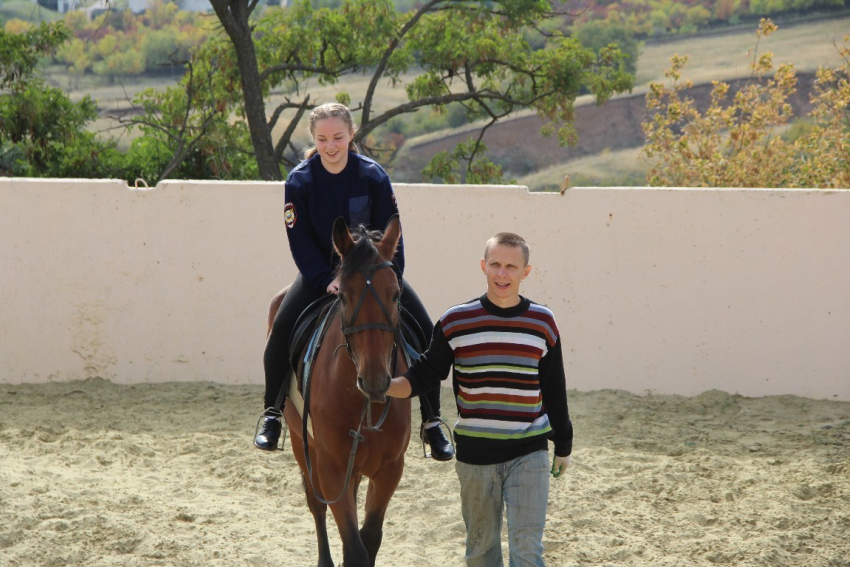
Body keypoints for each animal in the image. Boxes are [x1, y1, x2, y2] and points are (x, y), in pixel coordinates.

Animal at [264, 215, 410, 564]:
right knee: (316, 506)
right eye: (342, 295)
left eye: (395, 295)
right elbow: (354, 545)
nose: (375, 380)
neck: (362, 401)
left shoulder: (389, 469)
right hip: (302, 443)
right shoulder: (331, 468)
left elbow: (369, 538)